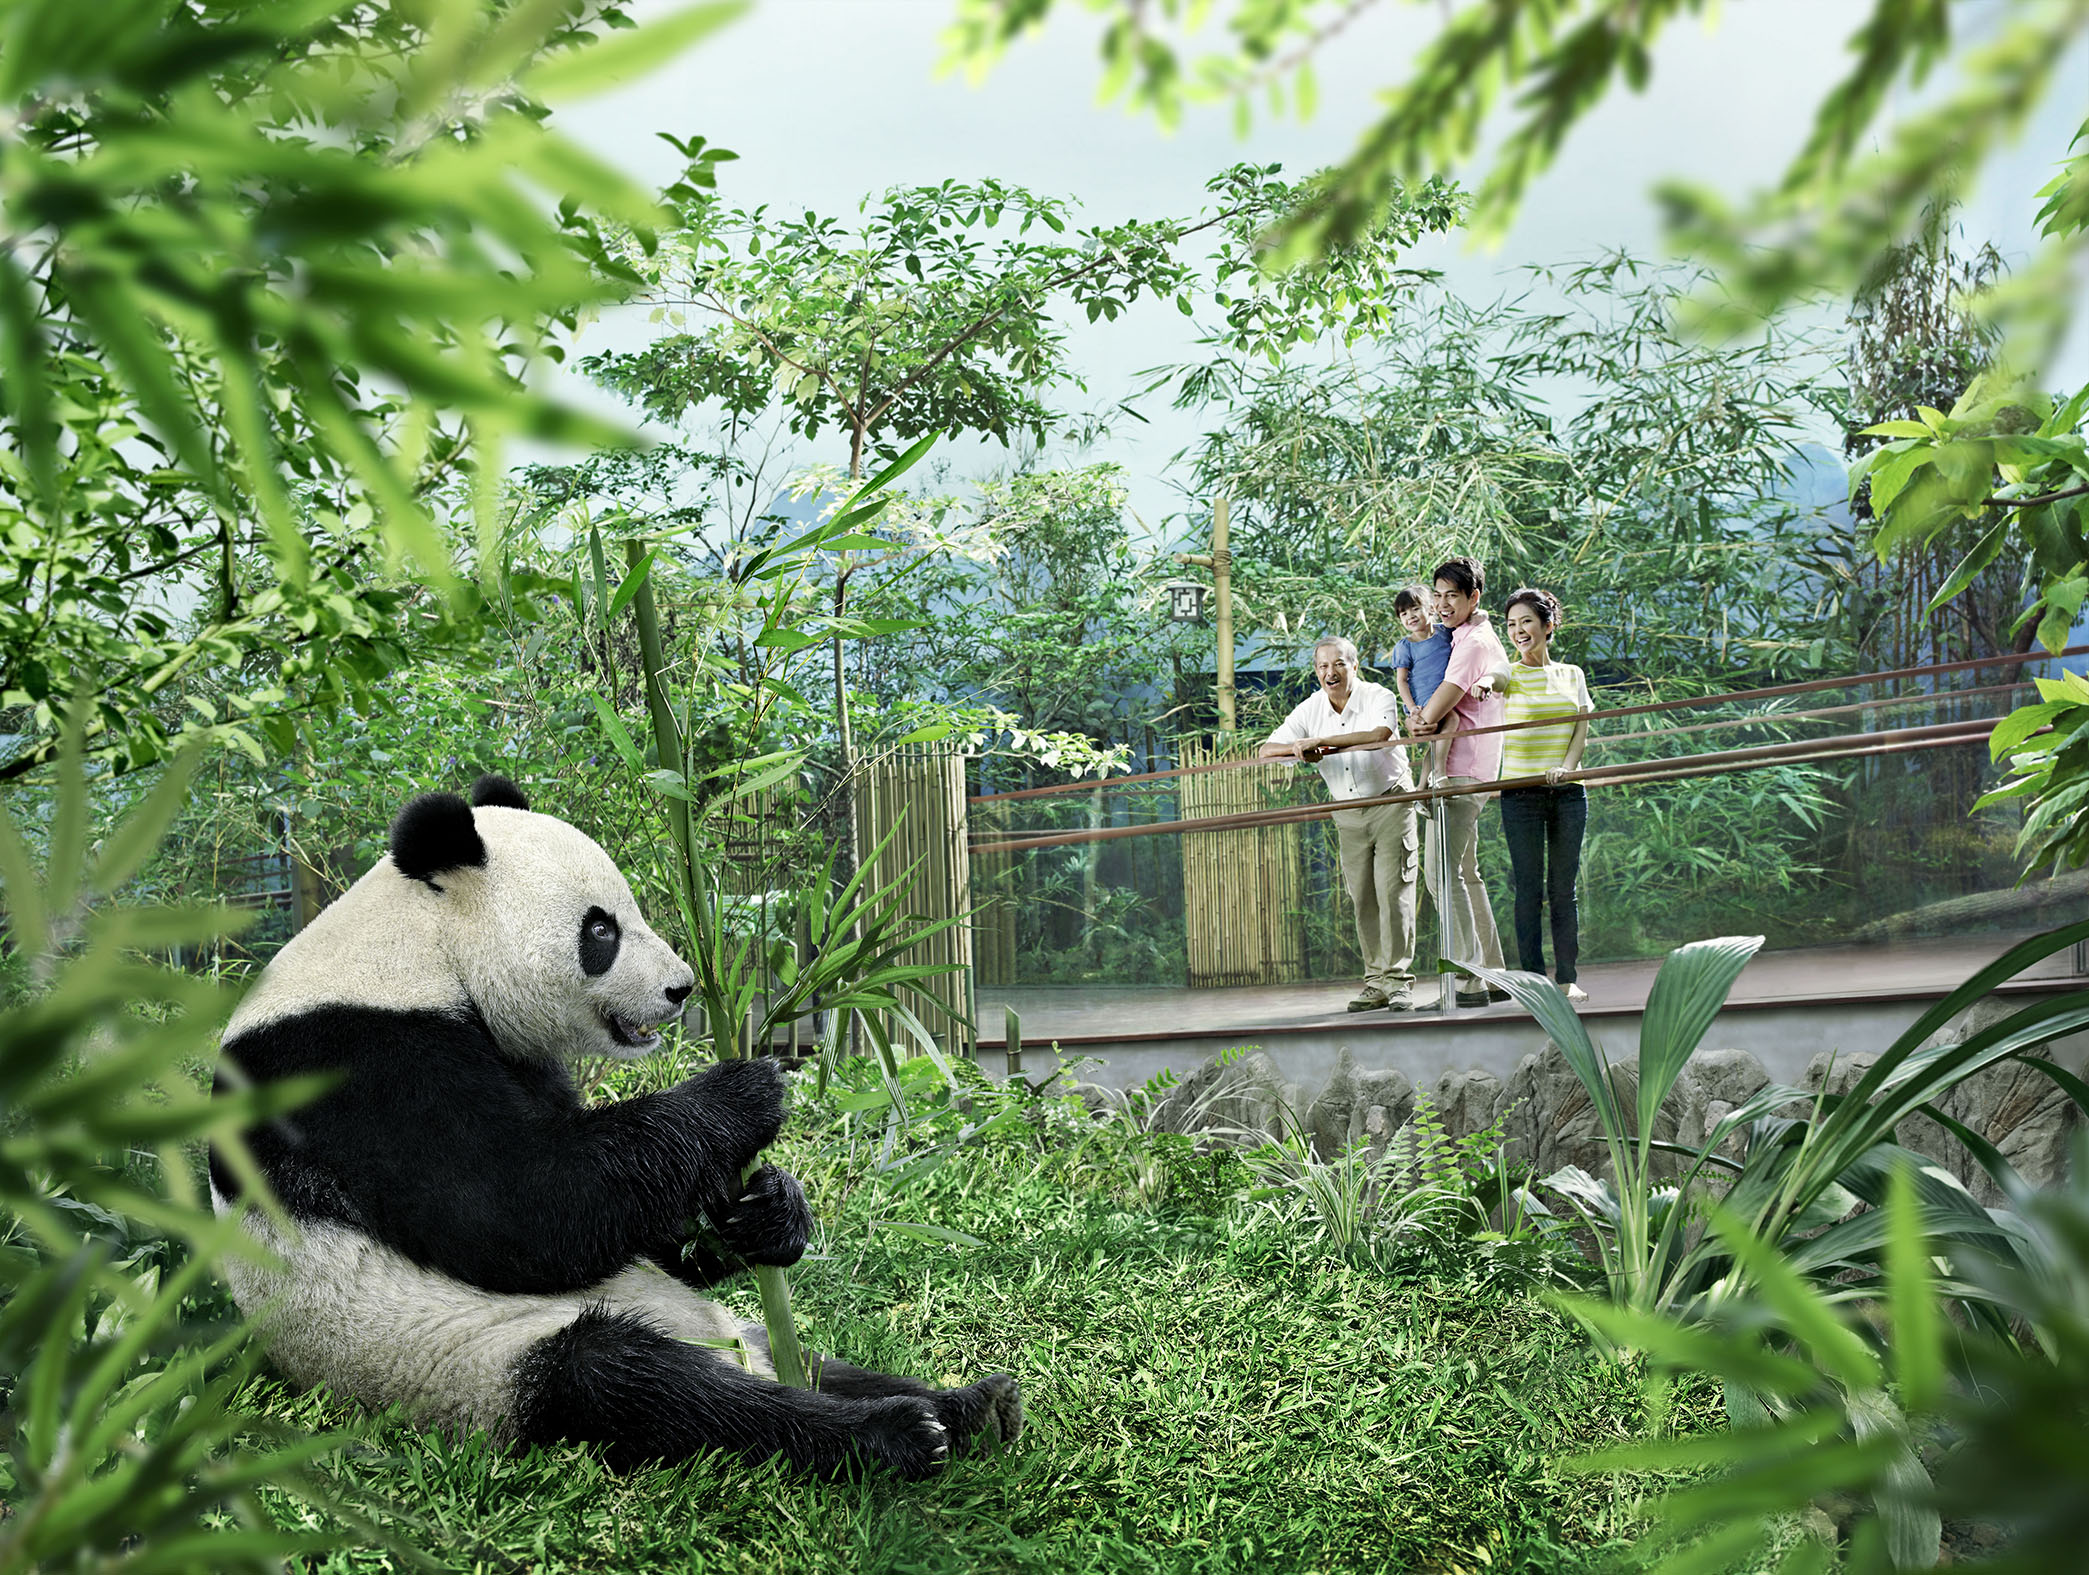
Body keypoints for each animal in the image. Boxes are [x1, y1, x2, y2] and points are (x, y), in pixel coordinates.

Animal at [209, 781, 1019, 1478]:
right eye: (600, 928)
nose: (682, 988)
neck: (418, 947)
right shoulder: (353, 1065)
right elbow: (526, 1211)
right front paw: (746, 1090)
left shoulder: (512, 1055)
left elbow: (635, 1219)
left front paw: (767, 1210)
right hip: (476, 1361)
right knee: (639, 1386)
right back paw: (892, 1433)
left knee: (815, 1363)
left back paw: (970, 1405)